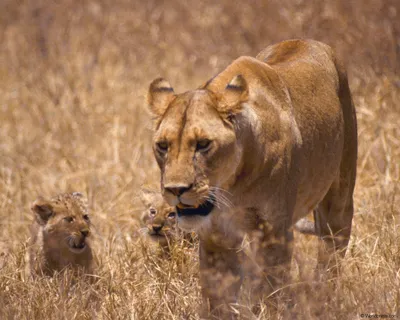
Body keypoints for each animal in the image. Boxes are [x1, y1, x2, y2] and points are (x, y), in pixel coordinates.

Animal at [146, 39, 356, 318]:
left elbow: (270, 289)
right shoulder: (216, 235)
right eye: (163, 146)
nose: (175, 189)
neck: (232, 186)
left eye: (203, 144)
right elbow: (218, 296)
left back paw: (324, 300)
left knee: (331, 254)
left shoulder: (273, 230)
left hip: (339, 197)